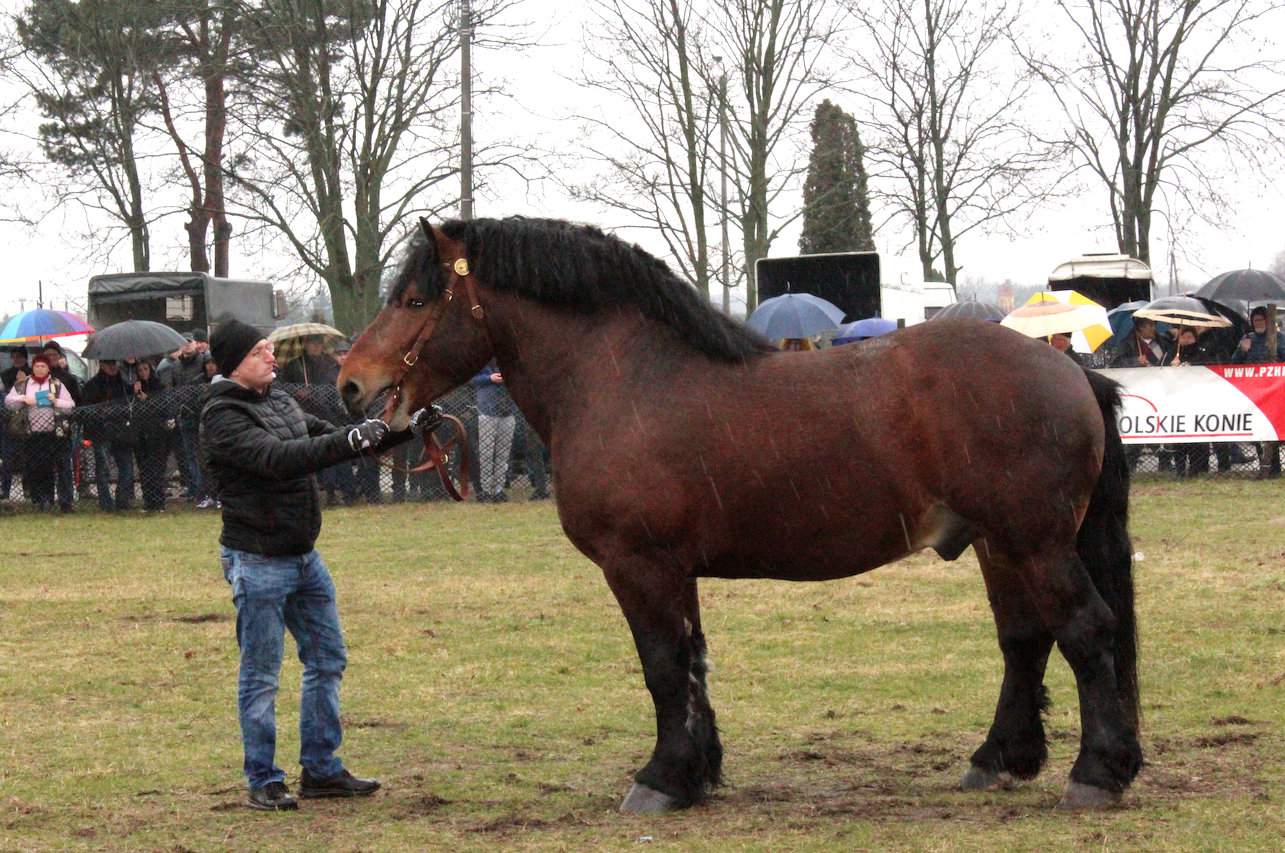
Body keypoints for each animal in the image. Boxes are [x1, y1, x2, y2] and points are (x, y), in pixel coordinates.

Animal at [336, 214, 1141, 811]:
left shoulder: (639, 564)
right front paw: (696, 772)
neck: (626, 379)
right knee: (1024, 640)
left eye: (415, 300)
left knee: (1085, 630)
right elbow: (691, 661)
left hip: (1035, 541)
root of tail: (1068, 367)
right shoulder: (672, 569)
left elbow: (662, 665)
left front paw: (661, 781)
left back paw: (1096, 774)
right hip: (998, 543)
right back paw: (997, 759)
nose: (349, 383)